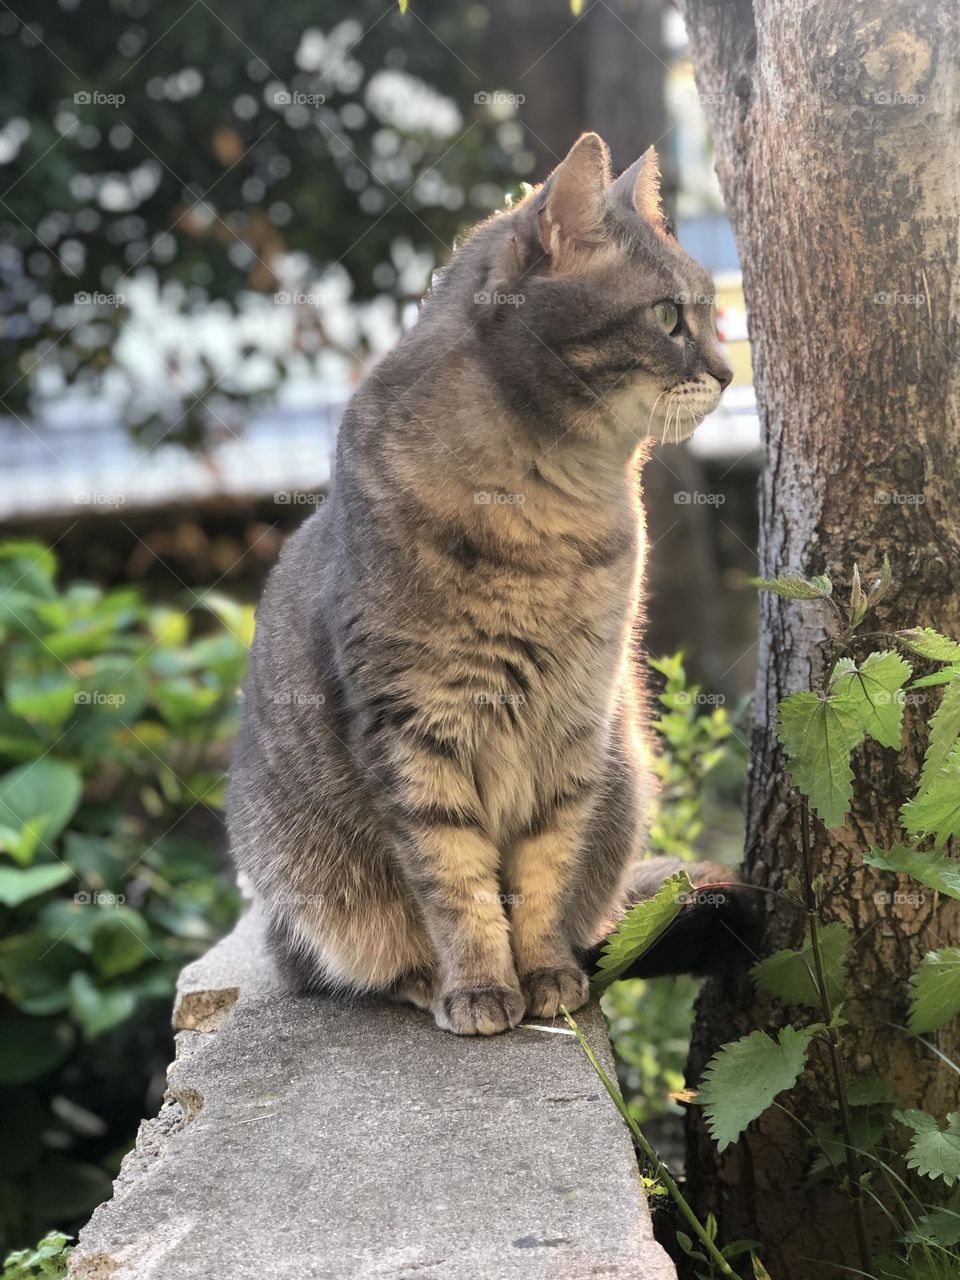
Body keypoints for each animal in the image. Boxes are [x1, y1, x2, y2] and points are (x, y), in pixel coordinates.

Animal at [231, 135, 742, 1034]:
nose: (727, 370)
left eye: (710, 308)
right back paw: (418, 979)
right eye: (667, 317)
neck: (551, 515)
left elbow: (543, 874)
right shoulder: (412, 728)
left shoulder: (573, 726)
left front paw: (543, 975)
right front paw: (477, 986)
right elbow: (454, 880)